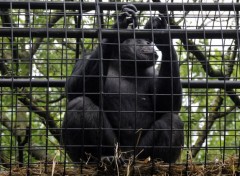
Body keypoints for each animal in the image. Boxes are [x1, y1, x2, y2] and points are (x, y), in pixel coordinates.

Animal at [62, 3, 184, 164]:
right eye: (138, 40)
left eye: (147, 41)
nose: (148, 43)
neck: (125, 65)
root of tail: (127, 156)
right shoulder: (84, 58)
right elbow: (74, 89)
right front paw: (120, 24)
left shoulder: (153, 73)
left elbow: (167, 106)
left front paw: (162, 34)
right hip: (115, 148)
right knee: (80, 105)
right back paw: (99, 158)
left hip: (139, 152)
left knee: (172, 120)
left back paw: (157, 162)